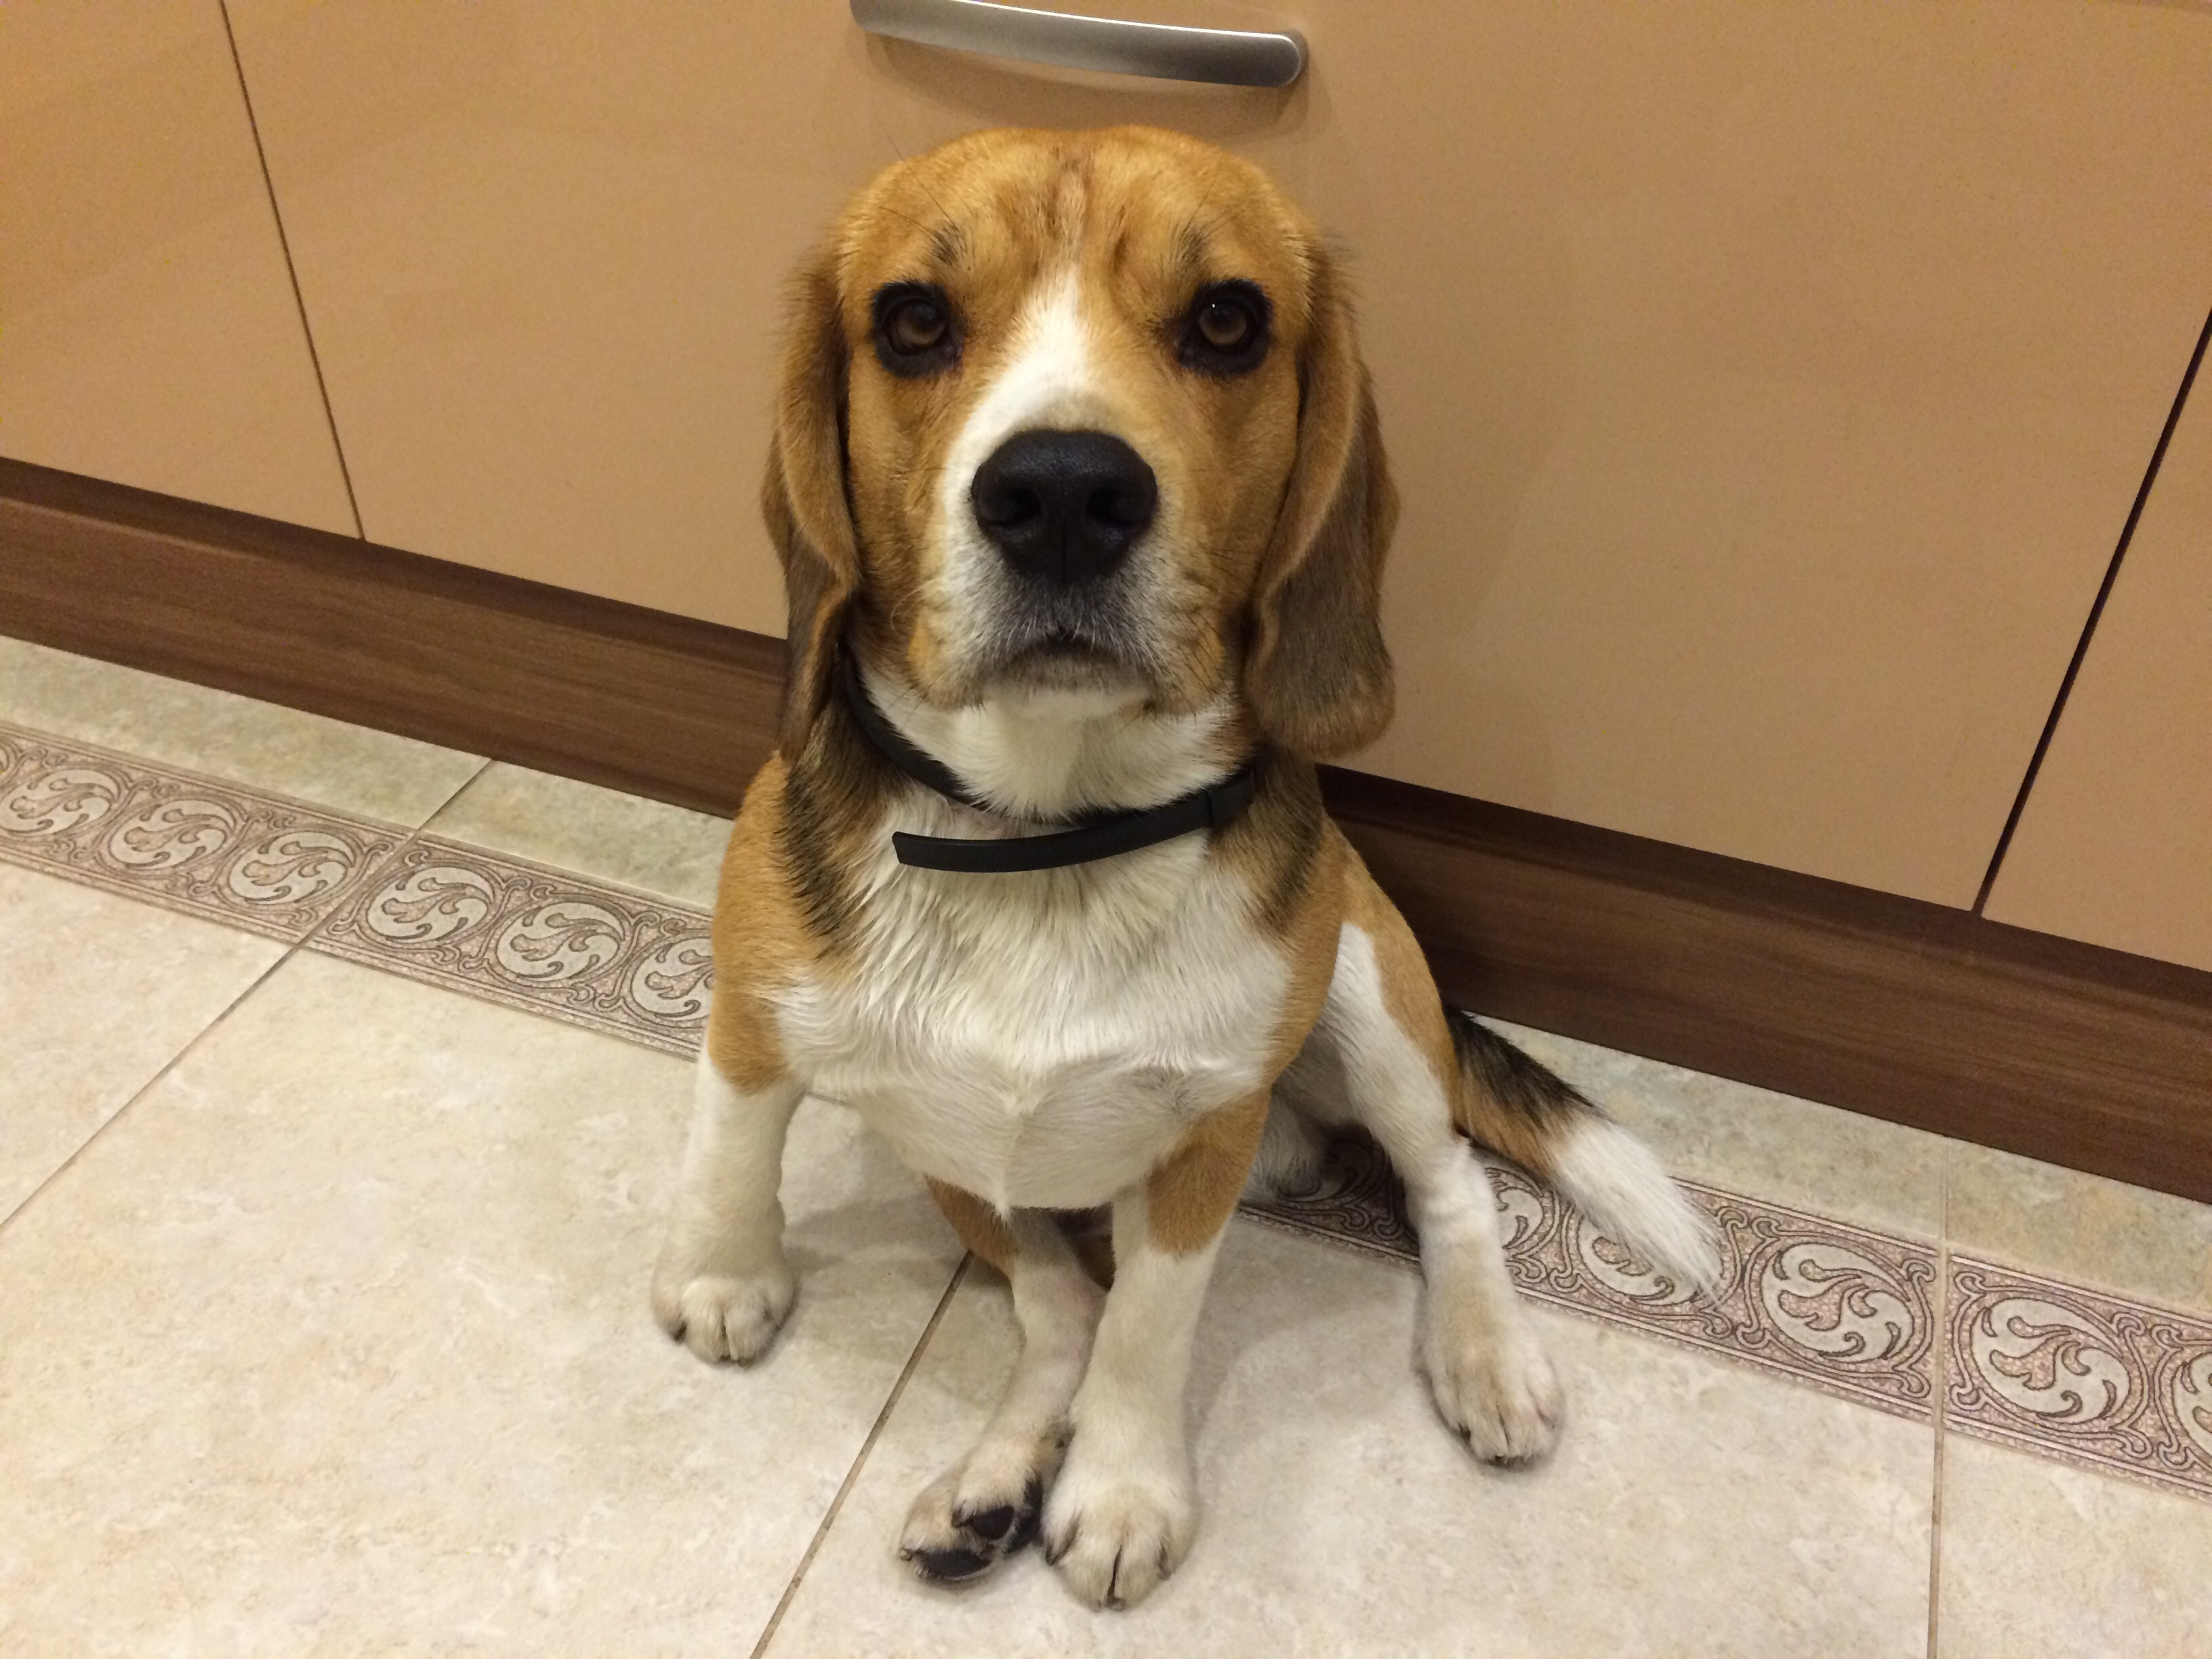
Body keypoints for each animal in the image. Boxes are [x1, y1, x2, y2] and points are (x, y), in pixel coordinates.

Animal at [652, 125, 1718, 1611]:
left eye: (1226, 322)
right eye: (911, 322)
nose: (1059, 494)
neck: (1045, 834)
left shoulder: (1200, 1148)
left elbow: (1147, 1333)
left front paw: (1119, 1492)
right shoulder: (757, 1015)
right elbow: (731, 1141)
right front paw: (723, 1274)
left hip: (1373, 999)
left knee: (1446, 1186)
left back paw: (1484, 1357)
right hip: (958, 1168)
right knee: (1058, 1307)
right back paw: (988, 1485)